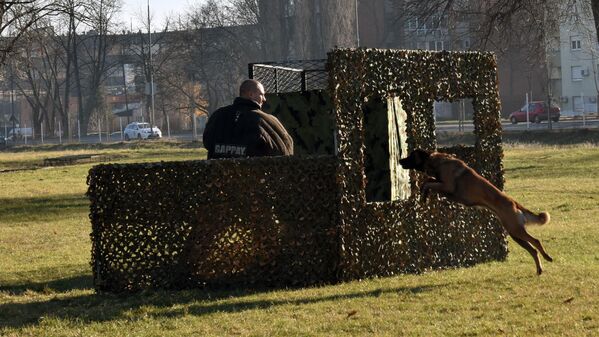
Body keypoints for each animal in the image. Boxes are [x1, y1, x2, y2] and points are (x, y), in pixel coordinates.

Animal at [398, 148, 552, 274]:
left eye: (411, 156)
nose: (400, 160)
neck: (436, 161)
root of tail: (514, 203)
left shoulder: (447, 186)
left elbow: (428, 183)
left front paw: (423, 195)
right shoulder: (441, 185)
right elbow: (429, 180)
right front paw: (424, 195)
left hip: (516, 230)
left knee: (536, 241)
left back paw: (547, 257)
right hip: (515, 234)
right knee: (533, 250)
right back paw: (539, 269)